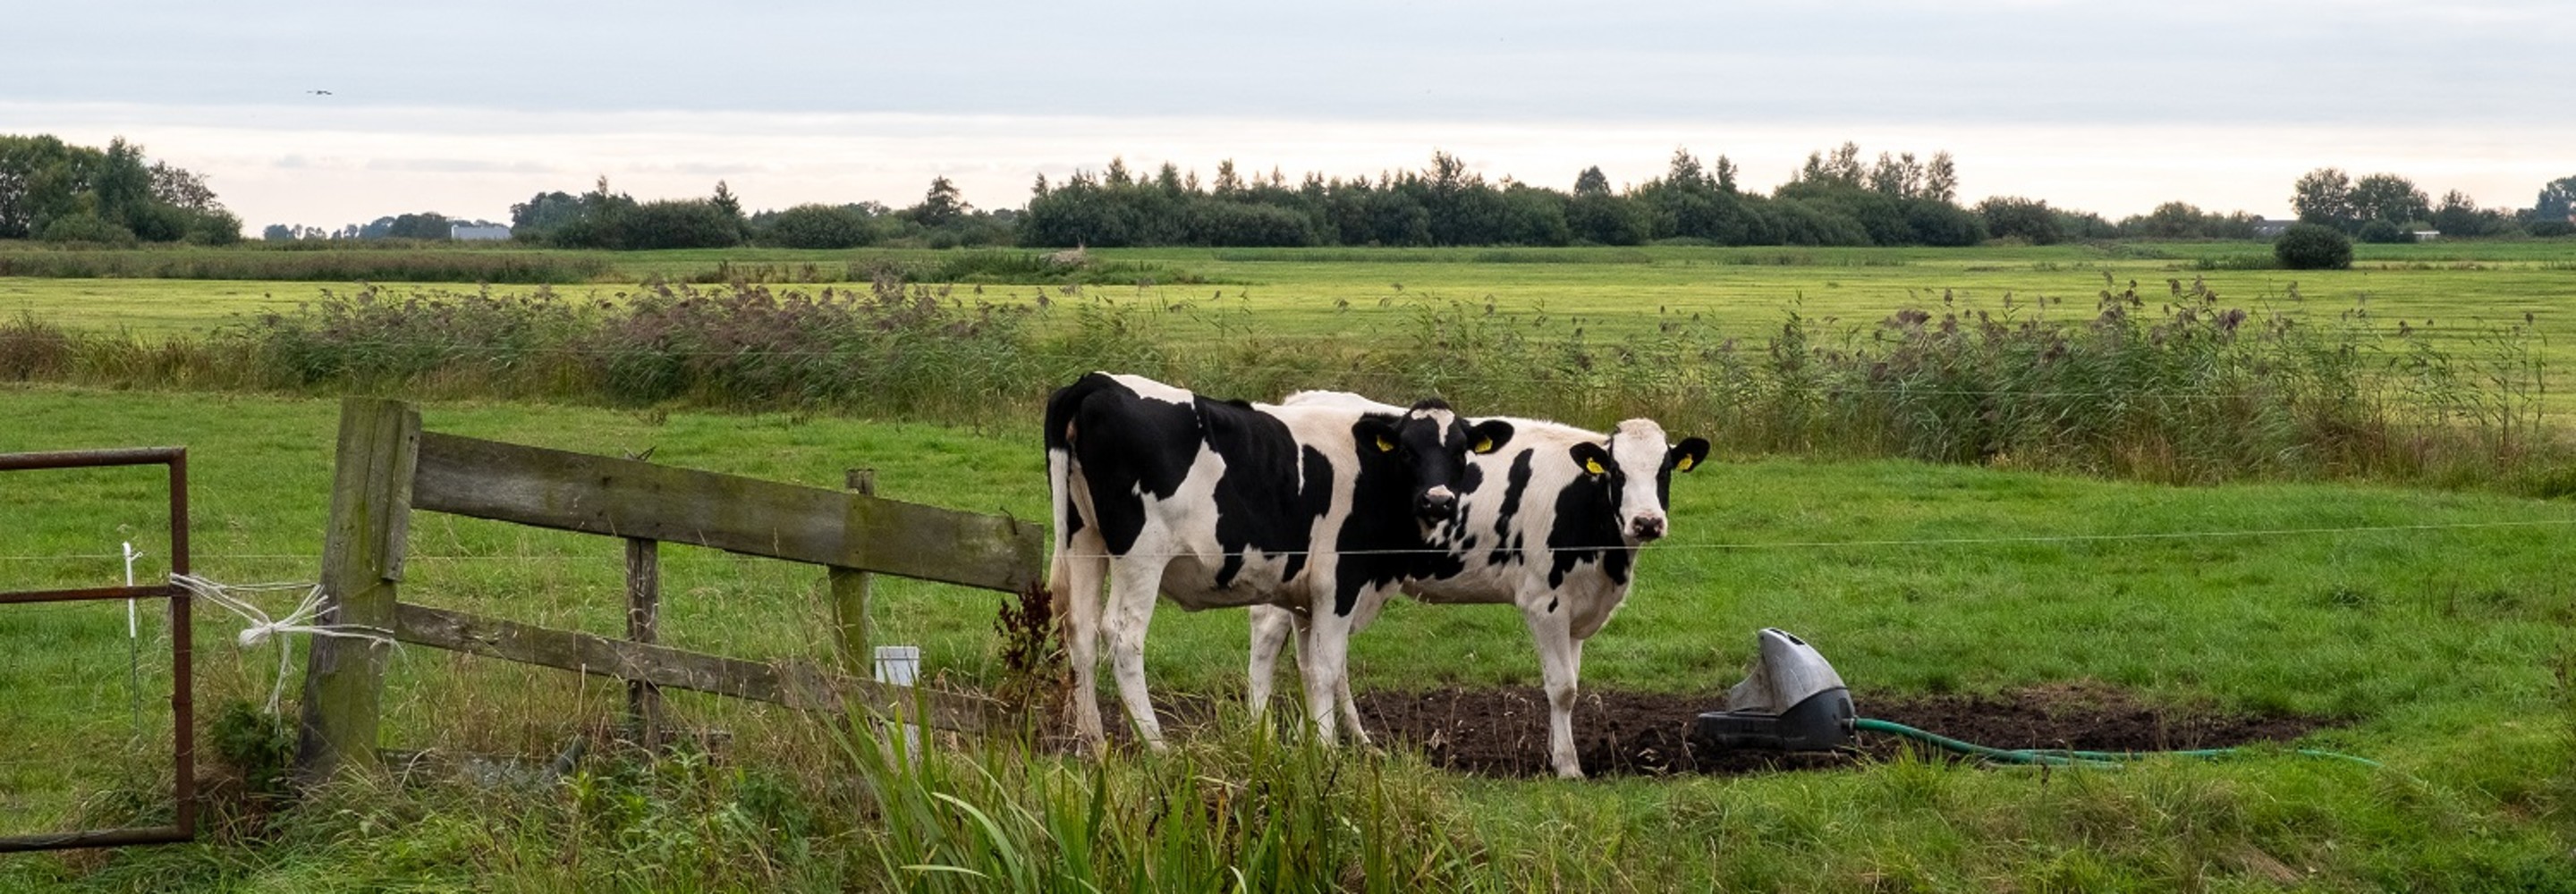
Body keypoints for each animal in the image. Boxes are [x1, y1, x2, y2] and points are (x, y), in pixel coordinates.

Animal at [1040, 373, 1504, 757]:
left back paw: (1093, 743)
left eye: (1460, 453)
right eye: (1406, 451)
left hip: (1084, 539)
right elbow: (1327, 668)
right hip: (1141, 553)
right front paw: (1327, 751)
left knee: (1080, 631)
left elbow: (1310, 668)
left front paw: (1315, 742)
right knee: (1122, 634)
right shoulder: (1340, 583)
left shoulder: (1305, 599)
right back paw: (1156, 746)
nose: (1438, 501)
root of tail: (1099, 381)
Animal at [1251, 396, 1710, 783]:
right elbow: (1562, 687)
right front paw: (1567, 766)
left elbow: (1570, 682)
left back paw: (1350, 743)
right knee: (1268, 641)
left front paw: (1554, 749)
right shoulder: (1544, 602)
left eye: (1664, 470)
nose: (1647, 522)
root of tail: (1300, 400)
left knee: (1325, 662)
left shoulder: (1579, 605)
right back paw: (1264, 735)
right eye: (1617, 472)